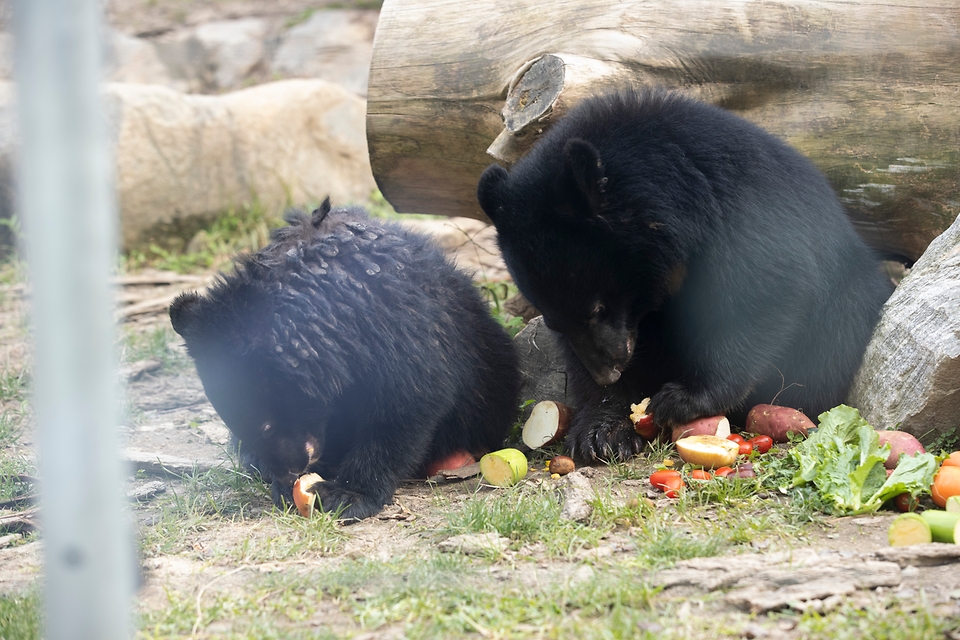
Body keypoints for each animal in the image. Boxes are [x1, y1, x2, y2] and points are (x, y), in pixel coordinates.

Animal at [478, 87, 892, 462]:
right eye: (552, 320)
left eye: (597, 309)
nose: (608, 373)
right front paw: (601, 430)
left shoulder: (742, 215)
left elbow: (763, 291)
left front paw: (681, 399)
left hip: (844, 309)